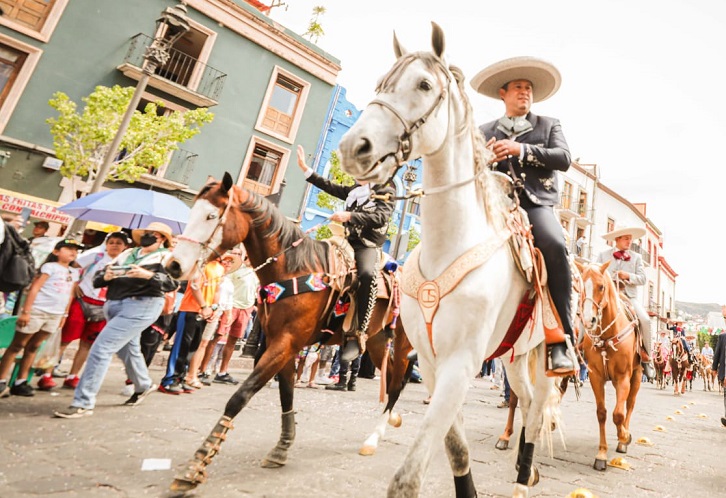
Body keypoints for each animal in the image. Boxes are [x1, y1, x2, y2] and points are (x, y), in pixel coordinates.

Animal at [167, 174, 412, 490]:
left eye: (211, 216)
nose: (174, 265)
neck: (293, 268)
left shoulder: (284, 343)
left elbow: (241, 395)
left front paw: (197, 463)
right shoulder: (282, 343)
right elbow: (286, 394)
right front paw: (282, 447)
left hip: (404, 341)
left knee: (397, 381)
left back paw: (374, 436)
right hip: (377, 339)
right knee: (392, 374)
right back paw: (387, 422)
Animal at [340, 22, 564, 498]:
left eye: (424, 85)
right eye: (381, 83)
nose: (353, 147)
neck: (451, 245)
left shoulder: (462, 361)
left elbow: (407, 478)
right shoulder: (430, 359)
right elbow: (456, 448)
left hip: (538, 354)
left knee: (537, 407)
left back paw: (523, 479)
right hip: (512, 356)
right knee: (527, 401)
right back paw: (526, 468)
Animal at [576, 260, 644, 470]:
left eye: (601, 286)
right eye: (581, 287)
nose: (588, 320)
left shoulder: (623, 377)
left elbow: (619, 414)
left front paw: (624, 437)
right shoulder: (595, 377)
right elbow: (602, 413)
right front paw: (601, 454)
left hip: (637, 375)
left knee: (630, 405)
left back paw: (623, 439)